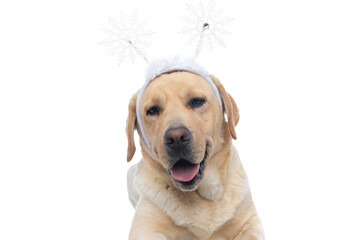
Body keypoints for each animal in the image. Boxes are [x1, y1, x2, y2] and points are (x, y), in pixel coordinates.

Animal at [126, 62, 264, 239]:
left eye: (197, 101)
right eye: (152, 110)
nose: (176, 138)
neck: (203, 195)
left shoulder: (250, 221)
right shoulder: (145, 228)